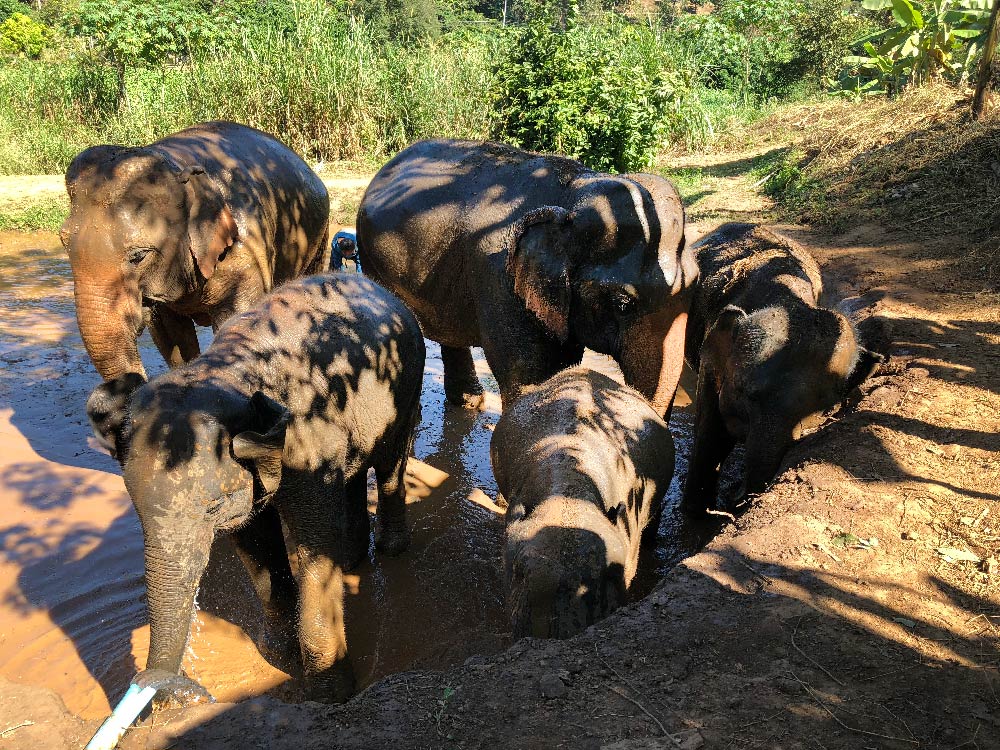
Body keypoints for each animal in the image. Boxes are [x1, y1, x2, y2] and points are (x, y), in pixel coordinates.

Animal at [60, 122, 330, 384]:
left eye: (138, 256)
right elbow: (170, 334)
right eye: (63, 242)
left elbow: (237, 318)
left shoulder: (245, 252)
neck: (177, 166)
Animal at [86, 274, 426, 704]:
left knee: (390, 464)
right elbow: (256, 544)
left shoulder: (307, 438)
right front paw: (277, 657)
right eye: (137, 512)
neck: (228, 371)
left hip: (407, 381)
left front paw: (330, 694)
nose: (174, 692)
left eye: (212, 507)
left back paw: (389, 549)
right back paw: (350, 561)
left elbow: (313, 542)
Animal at [358, 140, 696, 418]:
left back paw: (469, 404)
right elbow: (531, 375)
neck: (575, 191)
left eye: (694, 288)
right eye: (623, 304)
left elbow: (560, 364)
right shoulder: (500, 279)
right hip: (372, 261)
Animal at [680, 223, 884, 516]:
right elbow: (712, 436)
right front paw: (696, 514)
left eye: (822, 410)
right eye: (744, 392)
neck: (787, 297)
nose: (736, 498)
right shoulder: (712, 355)